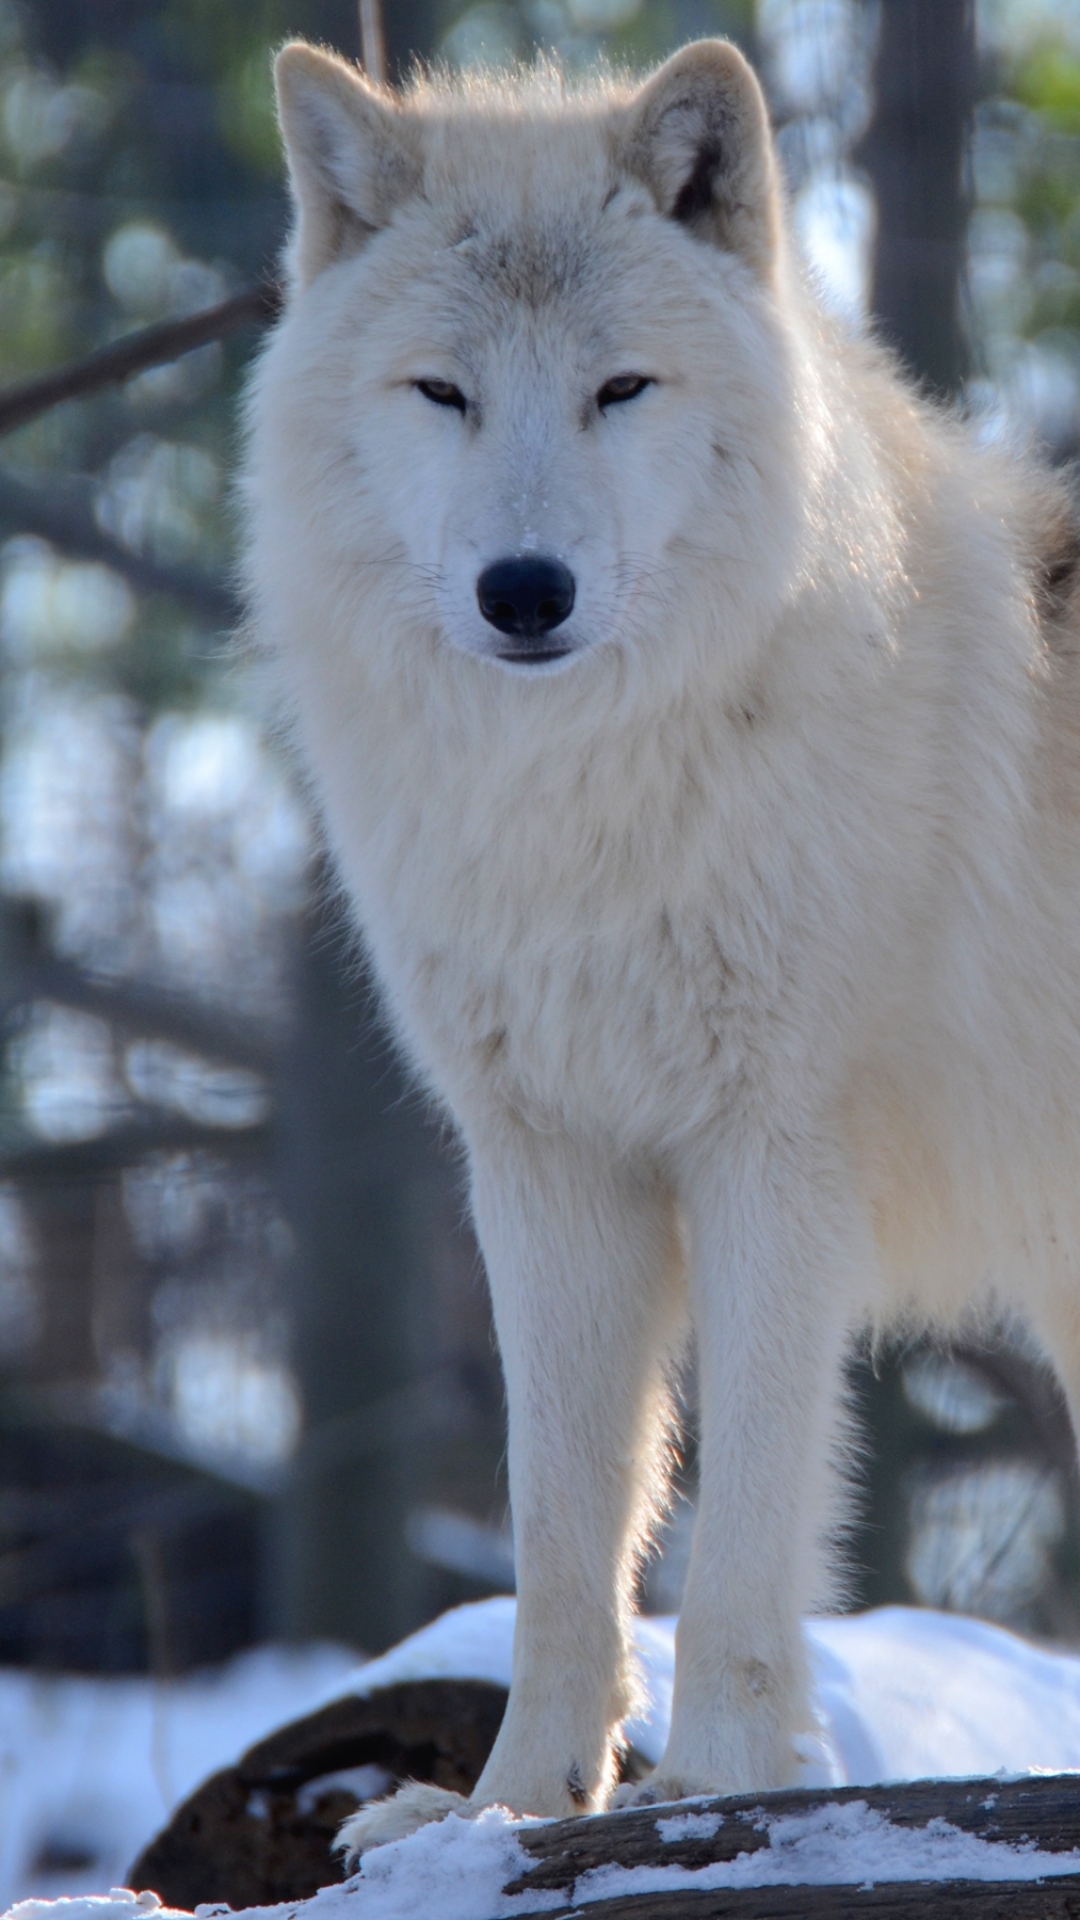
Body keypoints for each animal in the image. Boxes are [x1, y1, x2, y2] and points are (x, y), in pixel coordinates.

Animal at [241, 33, 1080, 1851]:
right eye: (443, 394)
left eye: (622, 390)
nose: (526, 590)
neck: (594, 805)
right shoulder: (547, 1168)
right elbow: (565, 1537)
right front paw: (502, 1807)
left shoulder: (774, 1156)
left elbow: (745, 1529)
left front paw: (717, 1782)